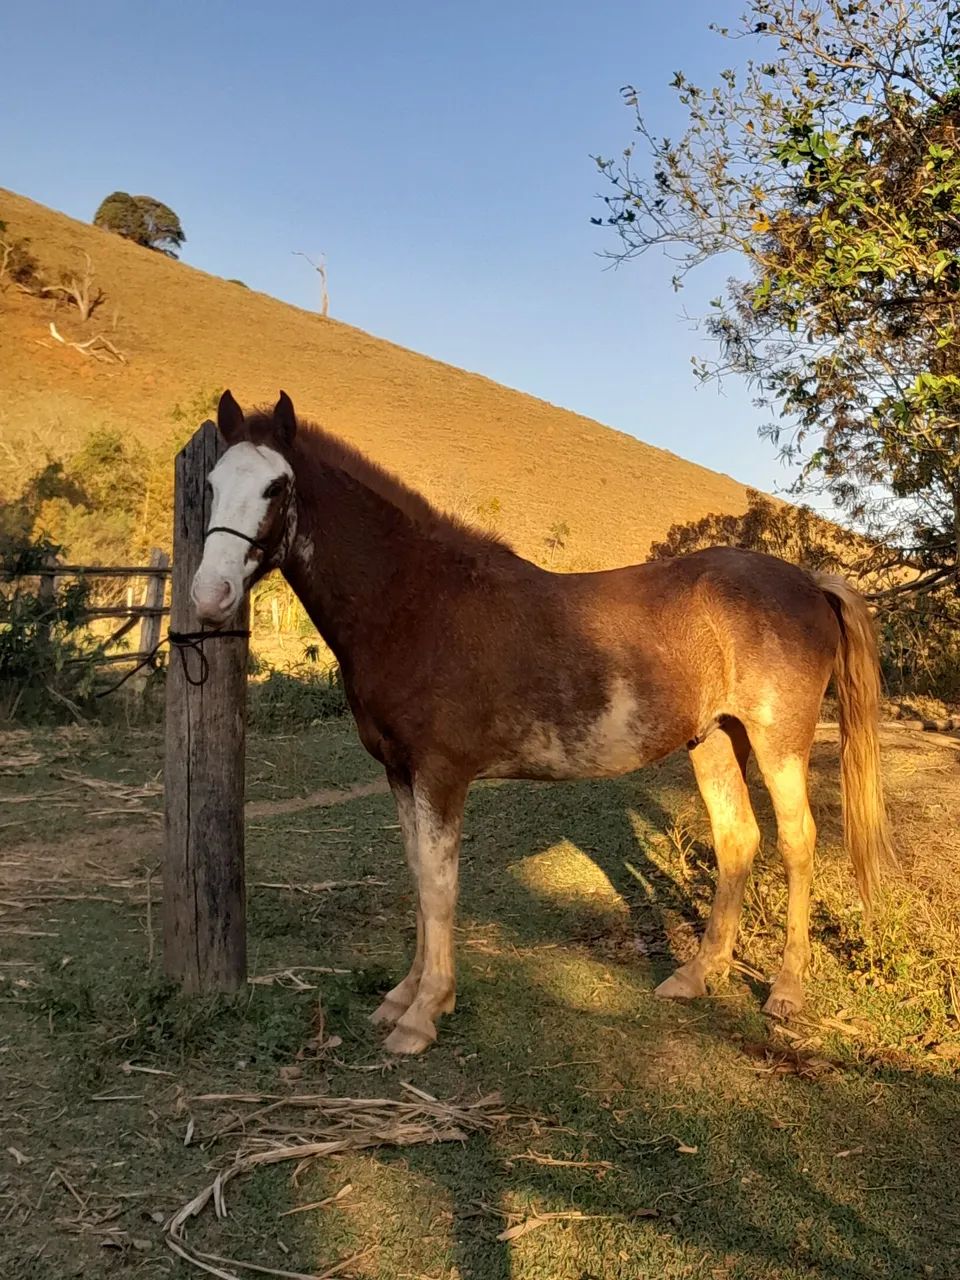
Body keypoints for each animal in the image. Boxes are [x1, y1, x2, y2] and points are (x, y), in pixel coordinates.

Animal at [191, 390, 892, 1055]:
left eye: (276, 487)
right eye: (212, 484)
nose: (209, 597)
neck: (416, 602)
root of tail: (807, 582)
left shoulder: (441, 776)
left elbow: (440, 885)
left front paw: (424, 1014)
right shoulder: (400, 773)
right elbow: (418, 877)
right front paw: (405, 995)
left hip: (779, 746)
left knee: (797, 843)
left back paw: (786, 990)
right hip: (715, 740)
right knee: (737, 840)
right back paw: (697, 975)